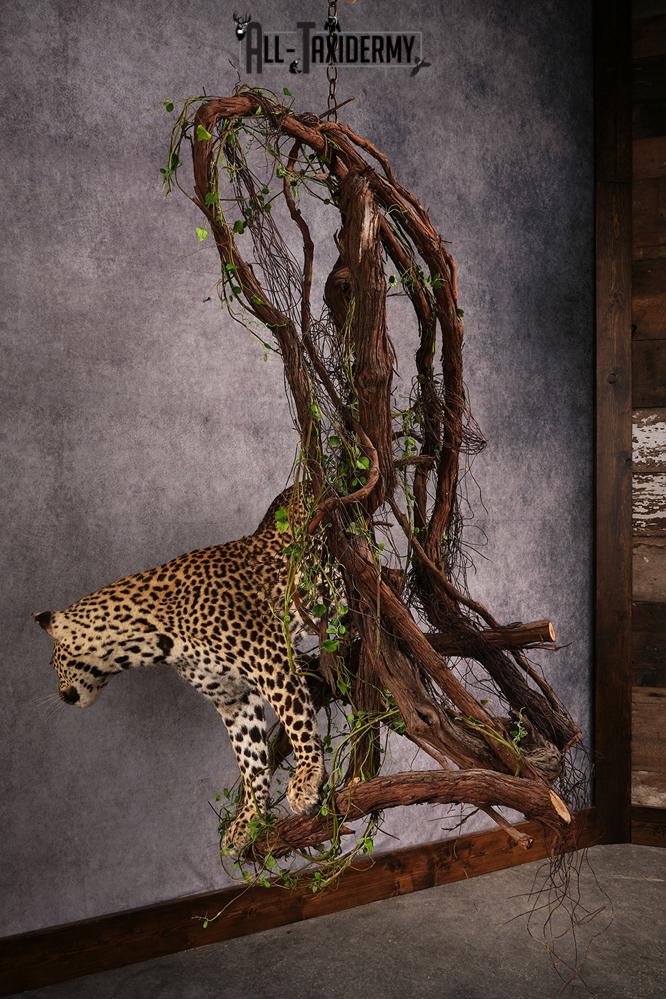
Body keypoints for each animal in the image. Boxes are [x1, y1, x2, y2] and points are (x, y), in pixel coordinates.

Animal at [33, 484, 326, 850]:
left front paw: (307, 777)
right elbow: (250, 757)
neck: (154, 640)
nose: (61, 695)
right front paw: (250, 818)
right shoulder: (233, 699)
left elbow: (296, 720)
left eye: (53, 663)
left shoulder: (271, 661)